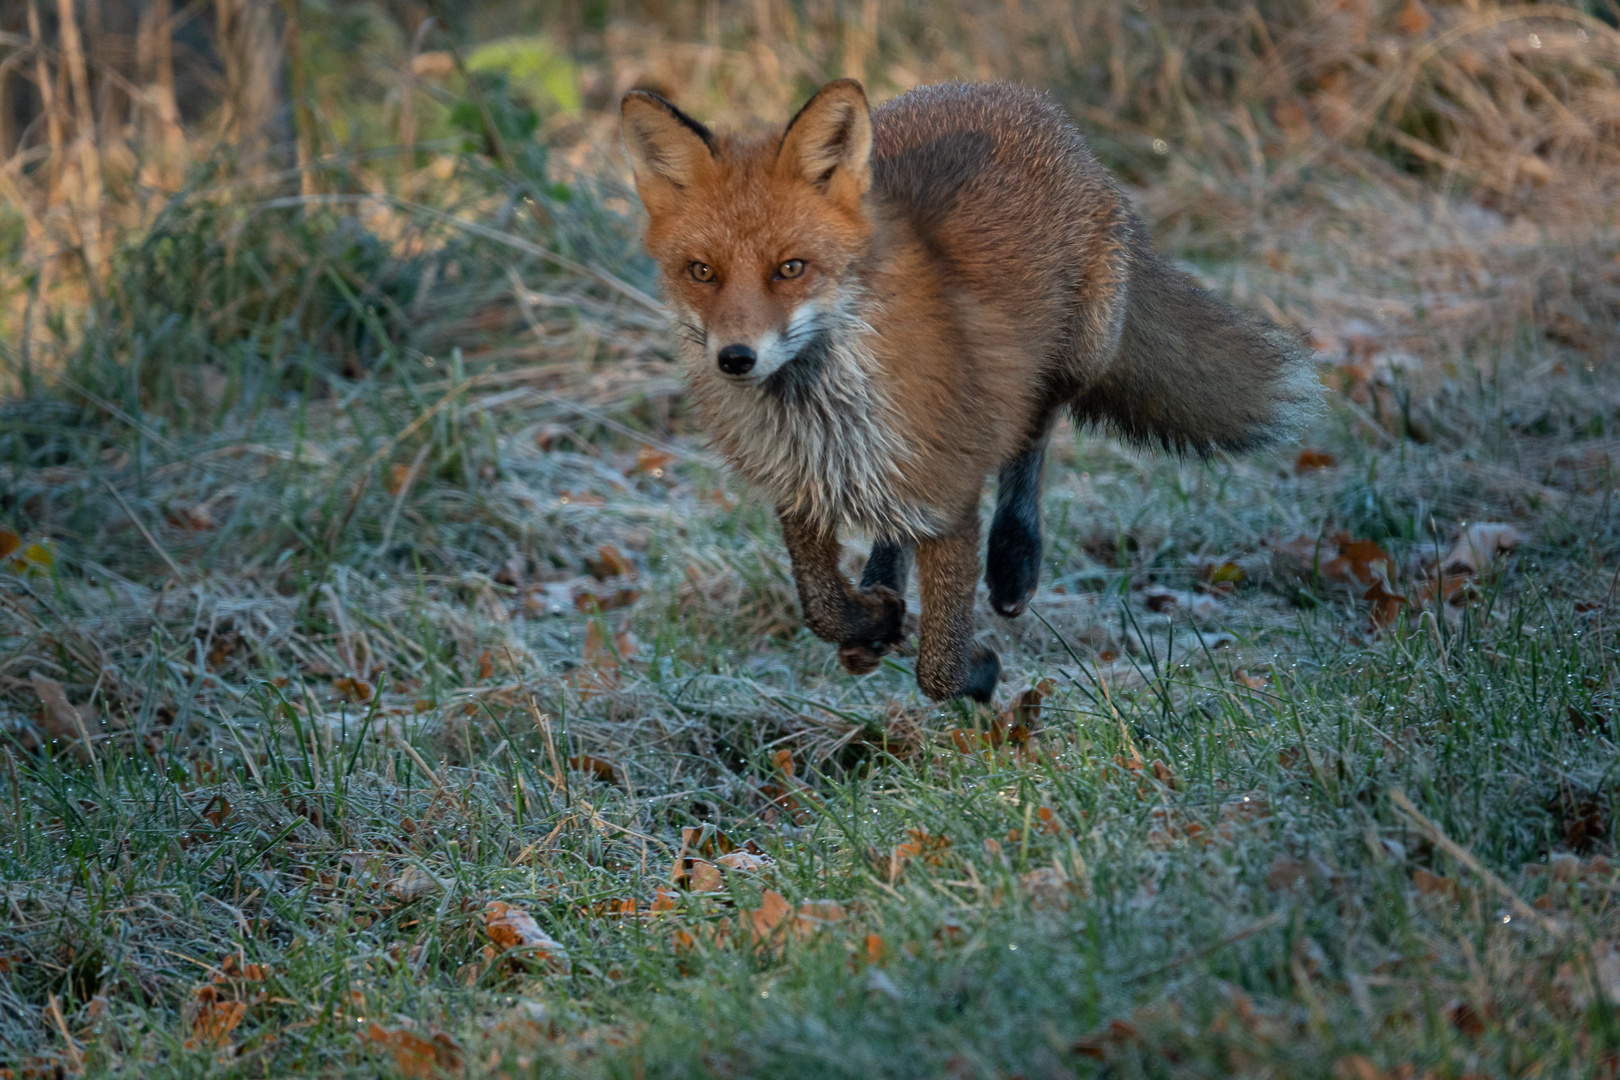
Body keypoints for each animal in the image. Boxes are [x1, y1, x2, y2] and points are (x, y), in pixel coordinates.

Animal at [615, 76, 1315, 702]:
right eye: (701, 271)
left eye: (791, 268)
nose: (735, 358)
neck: (822, 418)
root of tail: (1020, 97)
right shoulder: (800, 490)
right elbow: (821, 606)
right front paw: (873, 617)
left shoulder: (949, 494)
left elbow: (939, 669)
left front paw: (976, 673)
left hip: (1078, 352)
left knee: (1036, 426)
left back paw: (1014, 559)